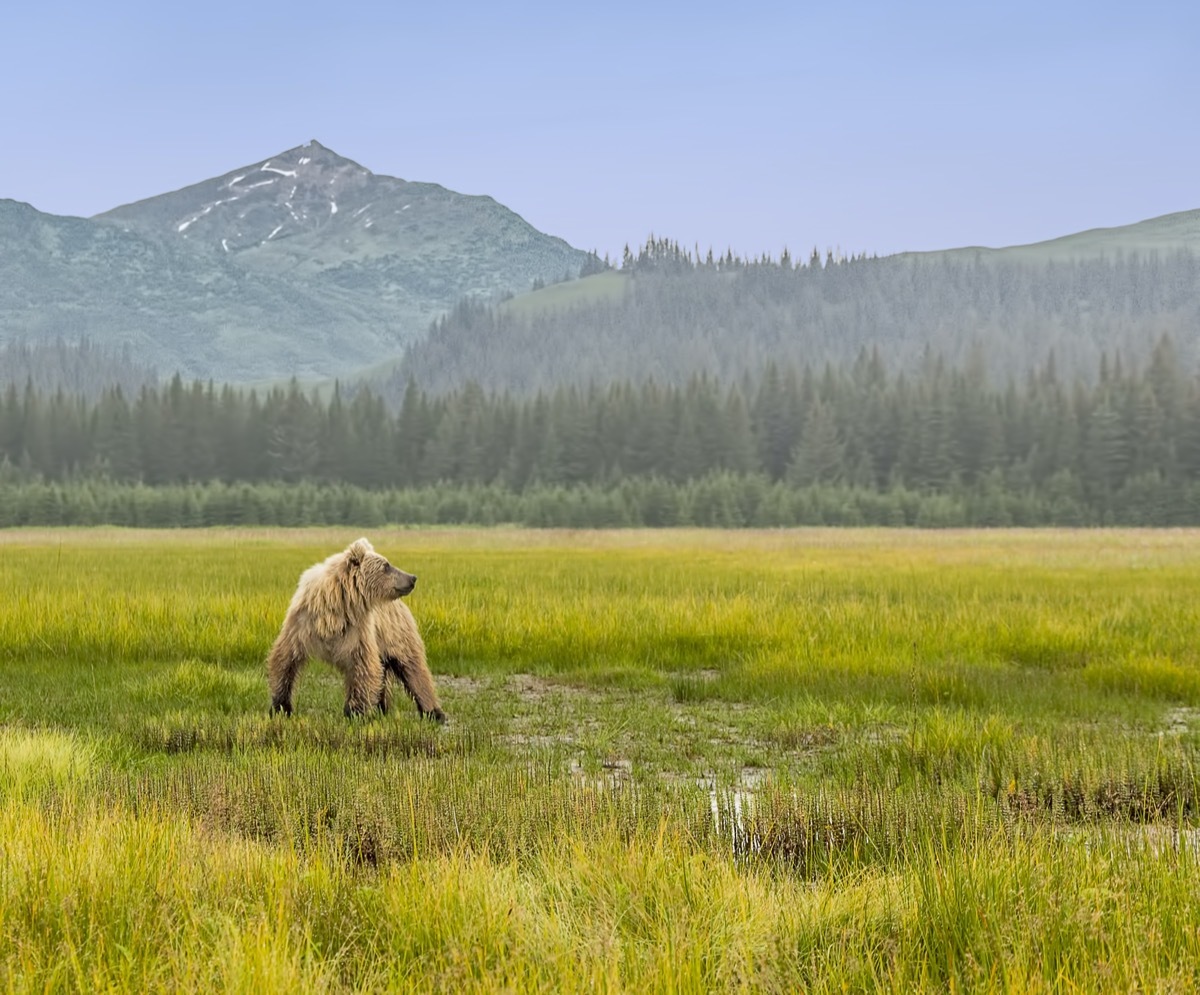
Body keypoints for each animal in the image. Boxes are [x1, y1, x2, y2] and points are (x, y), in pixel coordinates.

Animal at [266, 537, 446, 722]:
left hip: (396, 632)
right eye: (386, 566)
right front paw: (280, 707)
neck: (337, 607)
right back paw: (382, 707)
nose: (412, 578)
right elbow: (286, 659)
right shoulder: (302, 624)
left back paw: (433, 712)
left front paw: (354, 712)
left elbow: (363, 666)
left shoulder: (357, 631)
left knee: (413, 668)